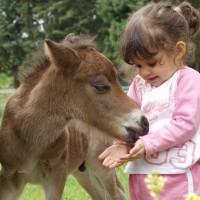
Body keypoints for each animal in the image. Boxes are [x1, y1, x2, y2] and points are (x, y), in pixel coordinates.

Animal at [0, 33, 148, 199]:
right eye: (100, 86)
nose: (144, 122)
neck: (31, 140)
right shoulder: (9, 177)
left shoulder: (57, 174)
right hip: (83, 172)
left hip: (101, 164)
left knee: (117, 192)